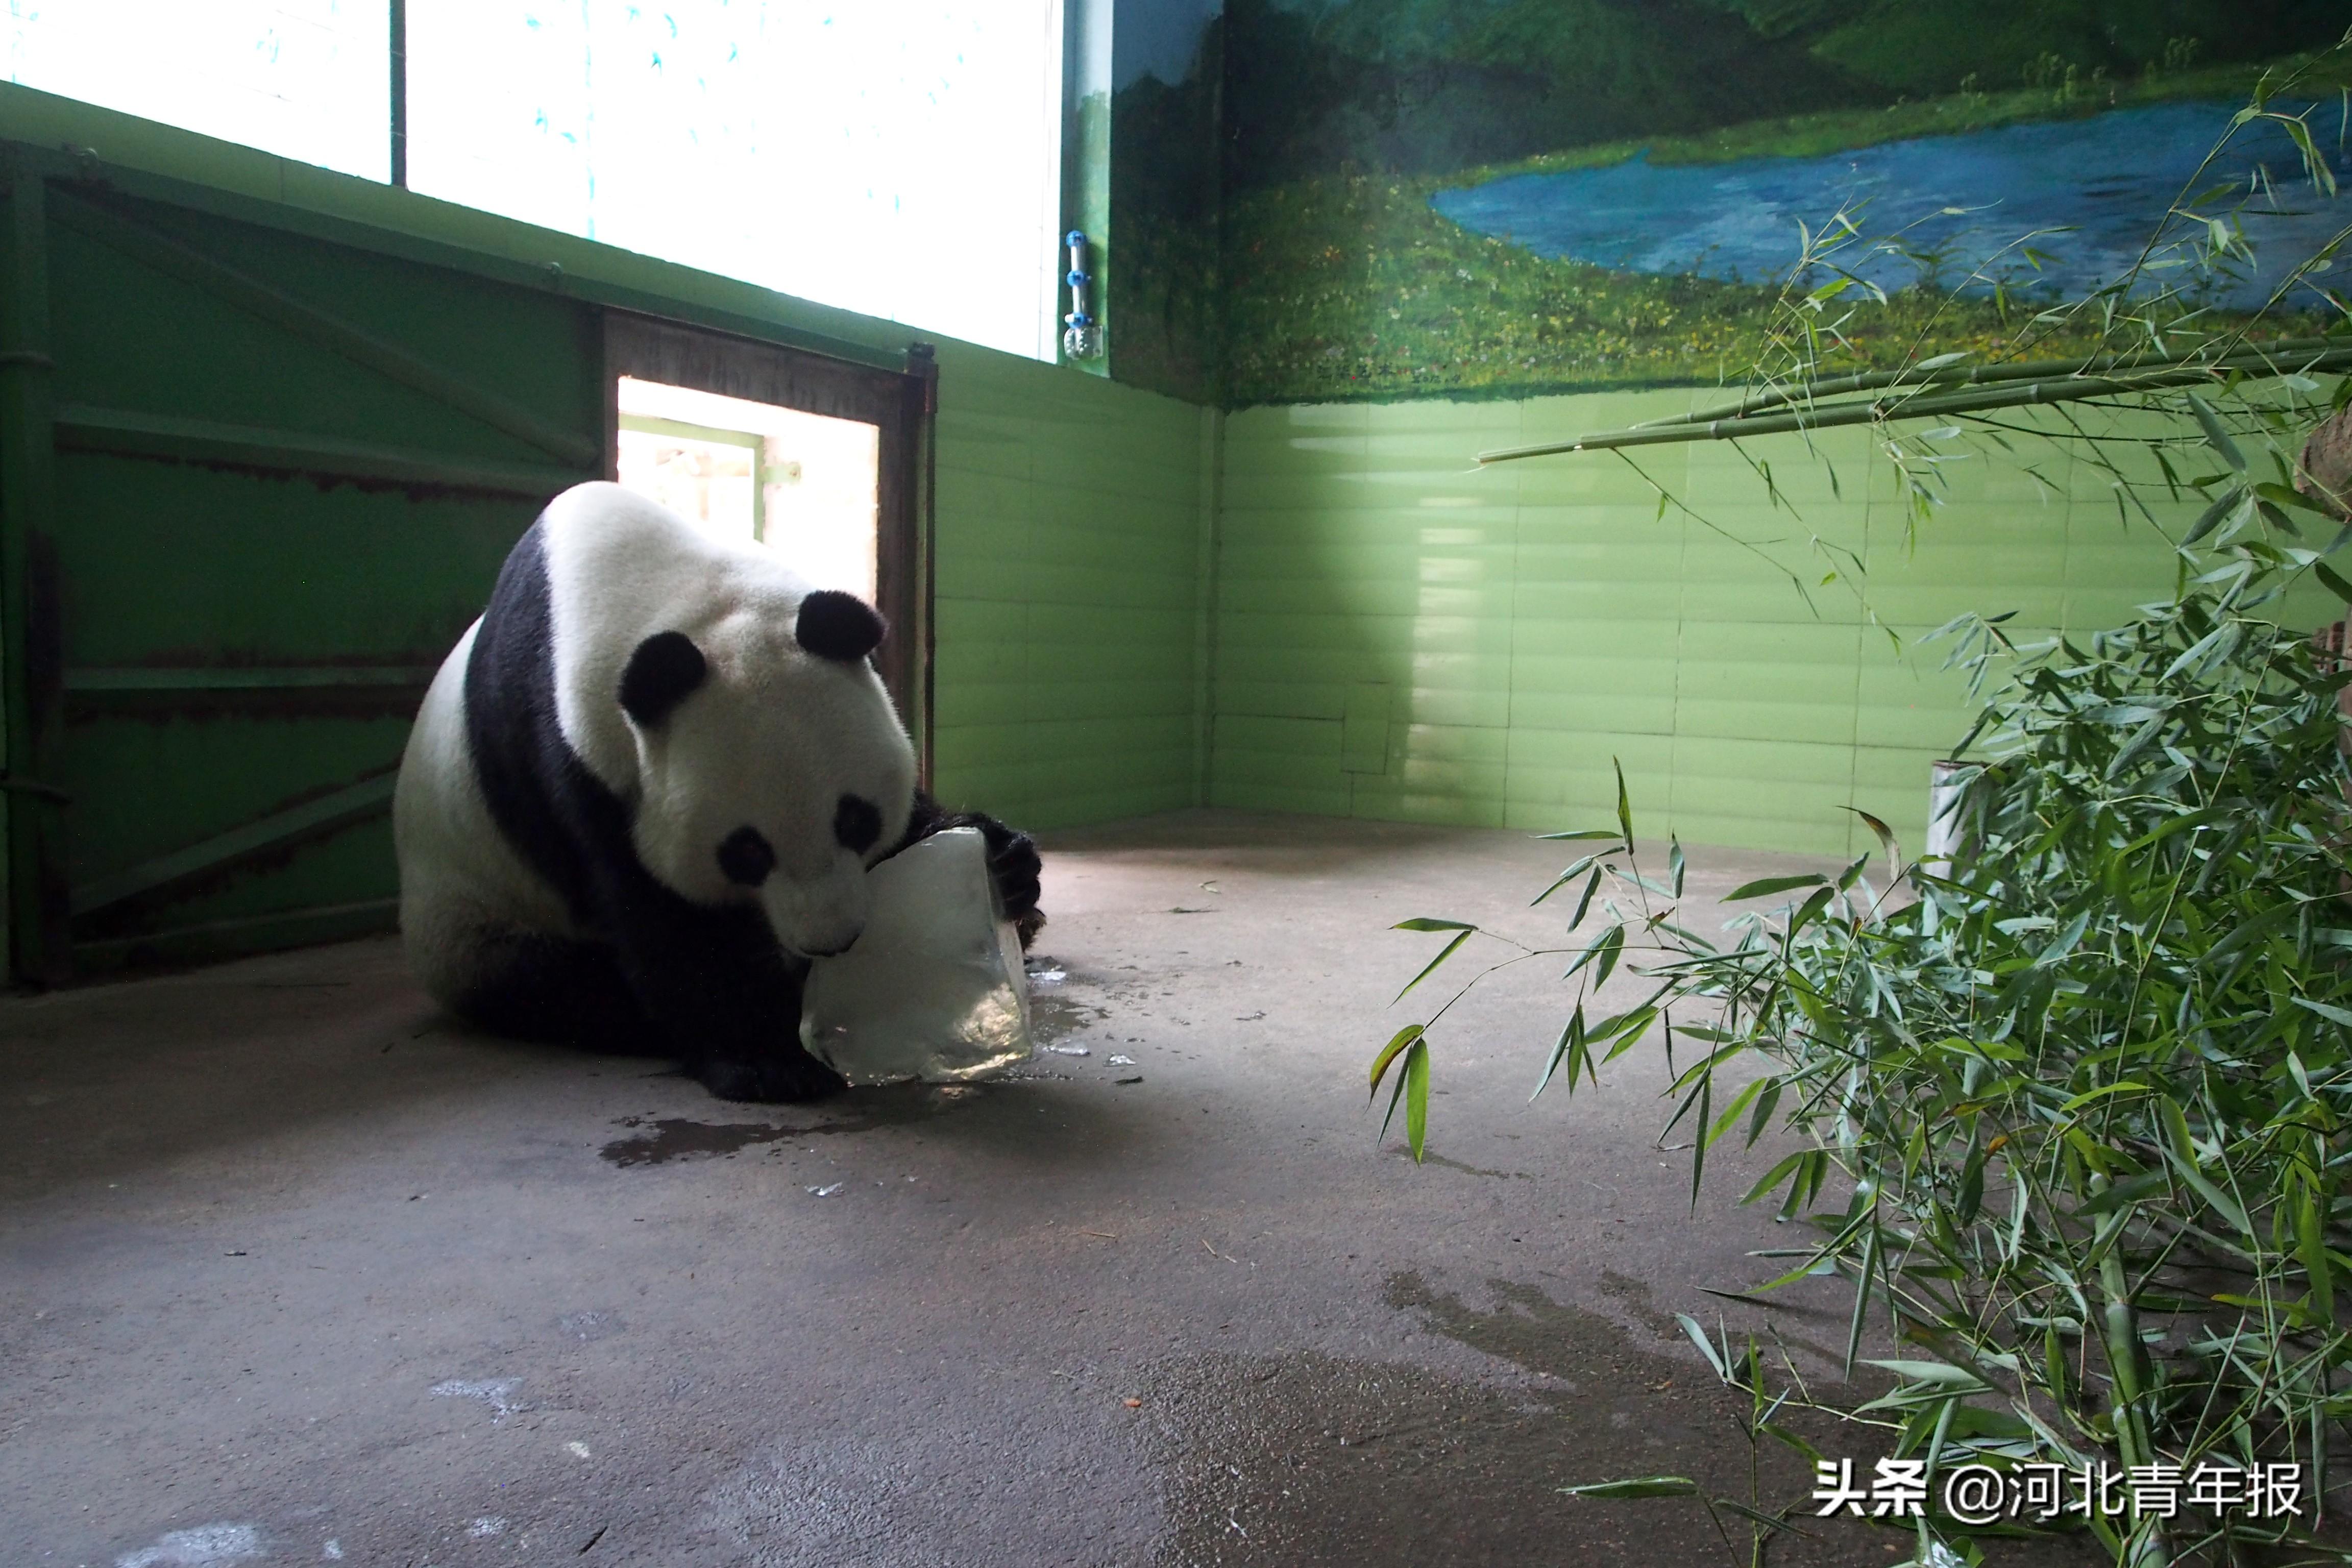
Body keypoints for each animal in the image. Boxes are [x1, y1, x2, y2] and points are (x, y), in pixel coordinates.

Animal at [400, 482, 1044, 1105]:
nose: (832, 942)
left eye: (854, 820)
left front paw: (1005, 866)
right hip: (475, 923)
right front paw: (767, 1060)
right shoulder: (574, 764)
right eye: (747, 852)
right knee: (564, 990)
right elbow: (665, 923)